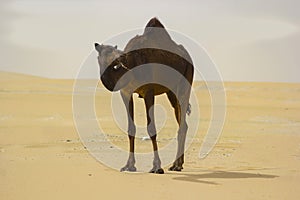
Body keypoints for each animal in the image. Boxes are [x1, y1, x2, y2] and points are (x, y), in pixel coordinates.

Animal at [94, 17, 195, 173]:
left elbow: (151, 128)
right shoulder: (126, 93)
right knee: (182, 121)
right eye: (100, 58)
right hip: (171, 92)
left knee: (182, 122)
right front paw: (129, 165)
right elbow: (131, 129)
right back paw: (177, 164)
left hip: (185, 82)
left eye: (116, 60)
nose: (119, 60)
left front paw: (157, 167)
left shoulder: (148, 91)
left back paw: (177, 165)